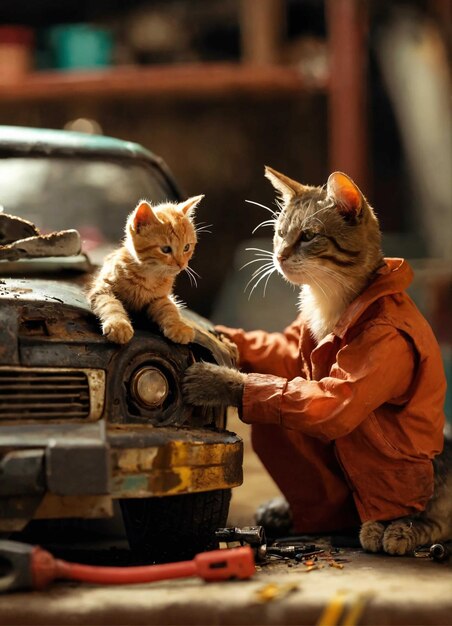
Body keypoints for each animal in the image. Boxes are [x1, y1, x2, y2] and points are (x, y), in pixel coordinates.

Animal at [87, 194, 204, 344]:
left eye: (186, 247)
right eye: (166, 249)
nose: (181, 264)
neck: (149, 275)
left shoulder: (161, 297)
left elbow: (169, 308)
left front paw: (179, 326)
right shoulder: (101, 290)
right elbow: (111, 304)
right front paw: (119, 325)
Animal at [184, 167, 452, 556]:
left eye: (308, 236)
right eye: (280, 233)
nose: (279, 256)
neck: (330, 302)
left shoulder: (360, 370)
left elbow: (326, 399)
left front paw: (213, 379)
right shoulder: (295, 341)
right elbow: (277, 352)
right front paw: (220, 333)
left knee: (436, 515)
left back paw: (398, 528)